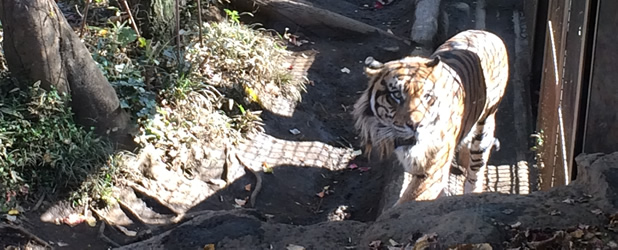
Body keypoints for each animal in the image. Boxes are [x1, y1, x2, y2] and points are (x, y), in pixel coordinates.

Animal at [348, 29, 508, 206]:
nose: (417, 125)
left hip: (485, 124)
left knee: (476, 167)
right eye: (397, 95)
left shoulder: (433, 169)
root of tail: (489, 34)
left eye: (426, 96)